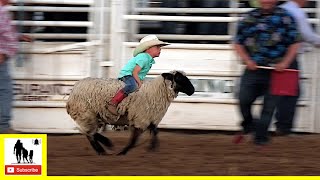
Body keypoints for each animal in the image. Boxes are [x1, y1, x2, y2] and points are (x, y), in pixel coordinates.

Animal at [66, 70, 194, 155]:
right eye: (179, 78)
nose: (192, 90)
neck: (156, 91)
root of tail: (73, 90)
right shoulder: (141, 118)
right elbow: (134, 140)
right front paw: (123, 152)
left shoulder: (149, 118)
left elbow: (155, 133)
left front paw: (152, 149)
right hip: (86, 113)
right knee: (89, 133)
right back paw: (102, 150)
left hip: (93, 115)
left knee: (89, 132)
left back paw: (107, 144)